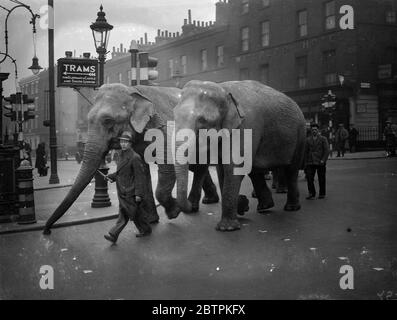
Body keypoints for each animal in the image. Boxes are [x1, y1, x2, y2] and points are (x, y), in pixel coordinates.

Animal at [43, 83, 220, 235]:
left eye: (108, 120)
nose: (47, 231)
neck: (133, 90)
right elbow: (141, 169)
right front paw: (151, 221)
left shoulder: (161, 128)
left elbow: (167, 167)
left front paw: (174, 212)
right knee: (197, 167)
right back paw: (208, 201)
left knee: (200, 167)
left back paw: (193, 207)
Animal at [172, 79, 304, 231]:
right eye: (174, 115)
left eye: (202, 120)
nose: (189, 208)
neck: (223, 89)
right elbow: (222, 169)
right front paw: (241, 207)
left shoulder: (247, 125)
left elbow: (234, 168)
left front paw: (227, 228)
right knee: (255, 171)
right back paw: (265, 206)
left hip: (300, 134)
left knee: (291, 170)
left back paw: (291, 208)